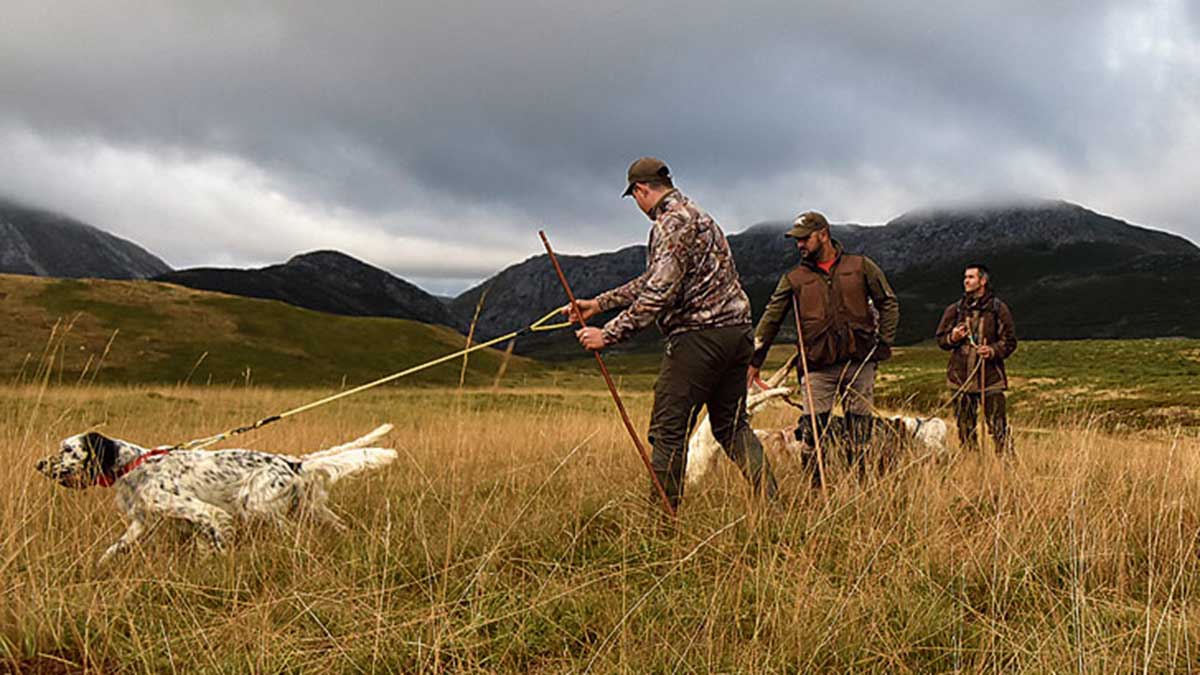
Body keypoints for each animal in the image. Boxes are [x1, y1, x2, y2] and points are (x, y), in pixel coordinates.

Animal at [32, 425, 396, 562]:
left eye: (67, 450)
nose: (38, 464)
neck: (133, 465)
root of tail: (293, 462)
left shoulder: (206, 512)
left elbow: (217, 540)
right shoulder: (141, 523)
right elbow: (115, 547)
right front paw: (98, 566)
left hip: (257, 505)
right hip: (312, 509)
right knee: (337, 525)